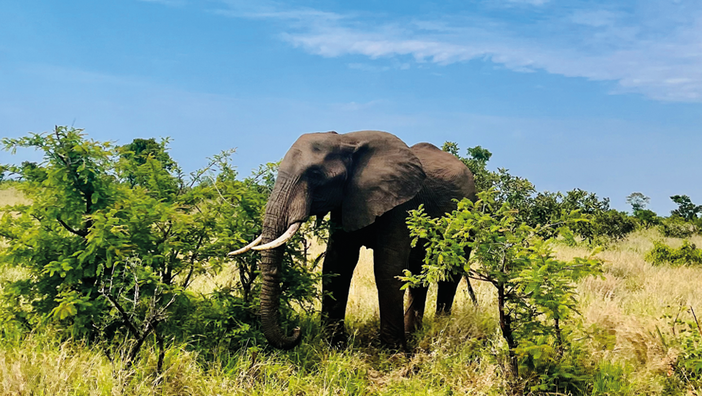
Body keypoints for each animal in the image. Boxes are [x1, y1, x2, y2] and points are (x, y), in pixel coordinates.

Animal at [232, 131, 478, 350]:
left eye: (315, 175)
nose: (296, 331)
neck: (346, 140)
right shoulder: (346, 201)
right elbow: (337, 264)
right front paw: (334, 345)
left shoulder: (401, 206)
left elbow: (388, 269)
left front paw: (393, 352)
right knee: (419, 274)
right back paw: (415, 334)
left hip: (467, 218)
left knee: (450, 274)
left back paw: (441, 329)